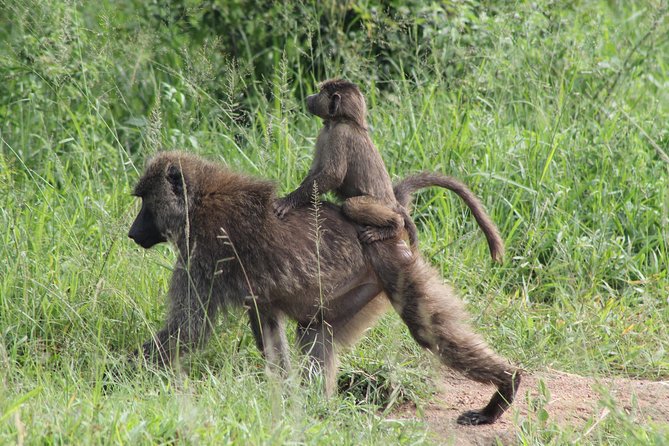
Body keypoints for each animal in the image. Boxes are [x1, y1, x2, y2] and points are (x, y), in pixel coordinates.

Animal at [128, 151, 520, 425]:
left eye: (146, 202)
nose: (132, 233)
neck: (198, 201)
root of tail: (391, 213)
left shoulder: (204, 255)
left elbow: (188, 330)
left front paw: (120, 377)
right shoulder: (256, 294)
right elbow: (269, 333)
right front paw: (284, 396)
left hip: (395, 266)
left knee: (427, 331)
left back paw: (506, 387)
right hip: (359, 291)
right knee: (316, 333)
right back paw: (319, 408)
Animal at [273, 79, 504, 263]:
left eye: (320, 92)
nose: (309, 97)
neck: (344, 121)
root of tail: (393, 202)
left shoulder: (340, 134)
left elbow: (332, 175)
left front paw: (287, 202)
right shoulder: (325, 132)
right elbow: (315, 172)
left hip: (381, 205)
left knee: (352, 205)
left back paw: (392, 226)